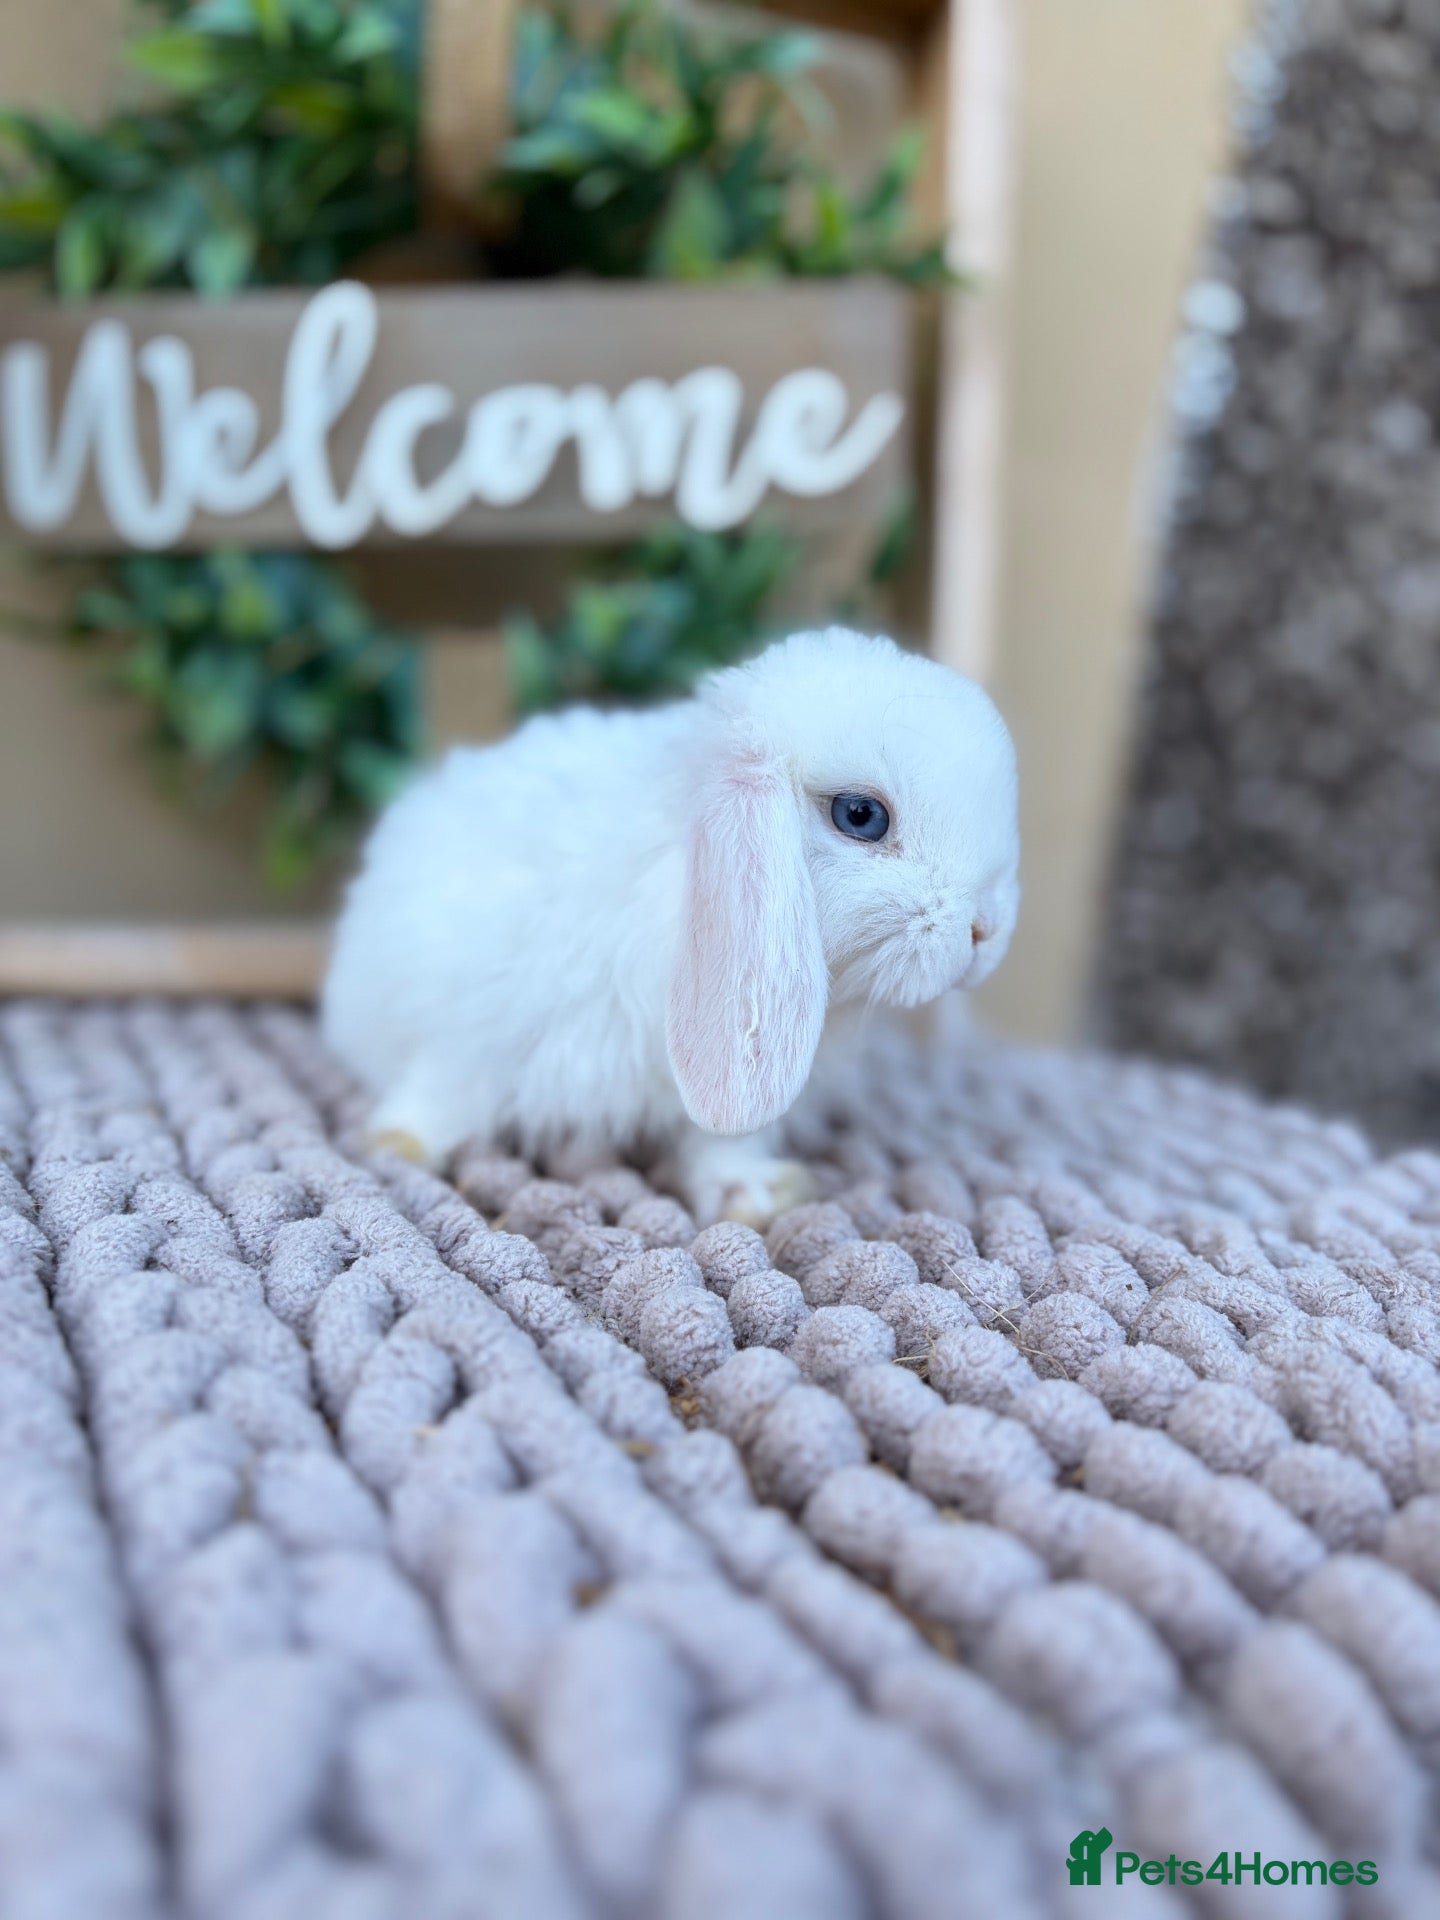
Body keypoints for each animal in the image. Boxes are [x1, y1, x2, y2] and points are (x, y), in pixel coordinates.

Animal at [322, 627, 1020, 1226]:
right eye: (860, 815)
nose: (985, 932)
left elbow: (719, 1145)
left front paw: (759, 1198)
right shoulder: (466, 1032)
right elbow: (440, 1093)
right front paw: (396, 1148)